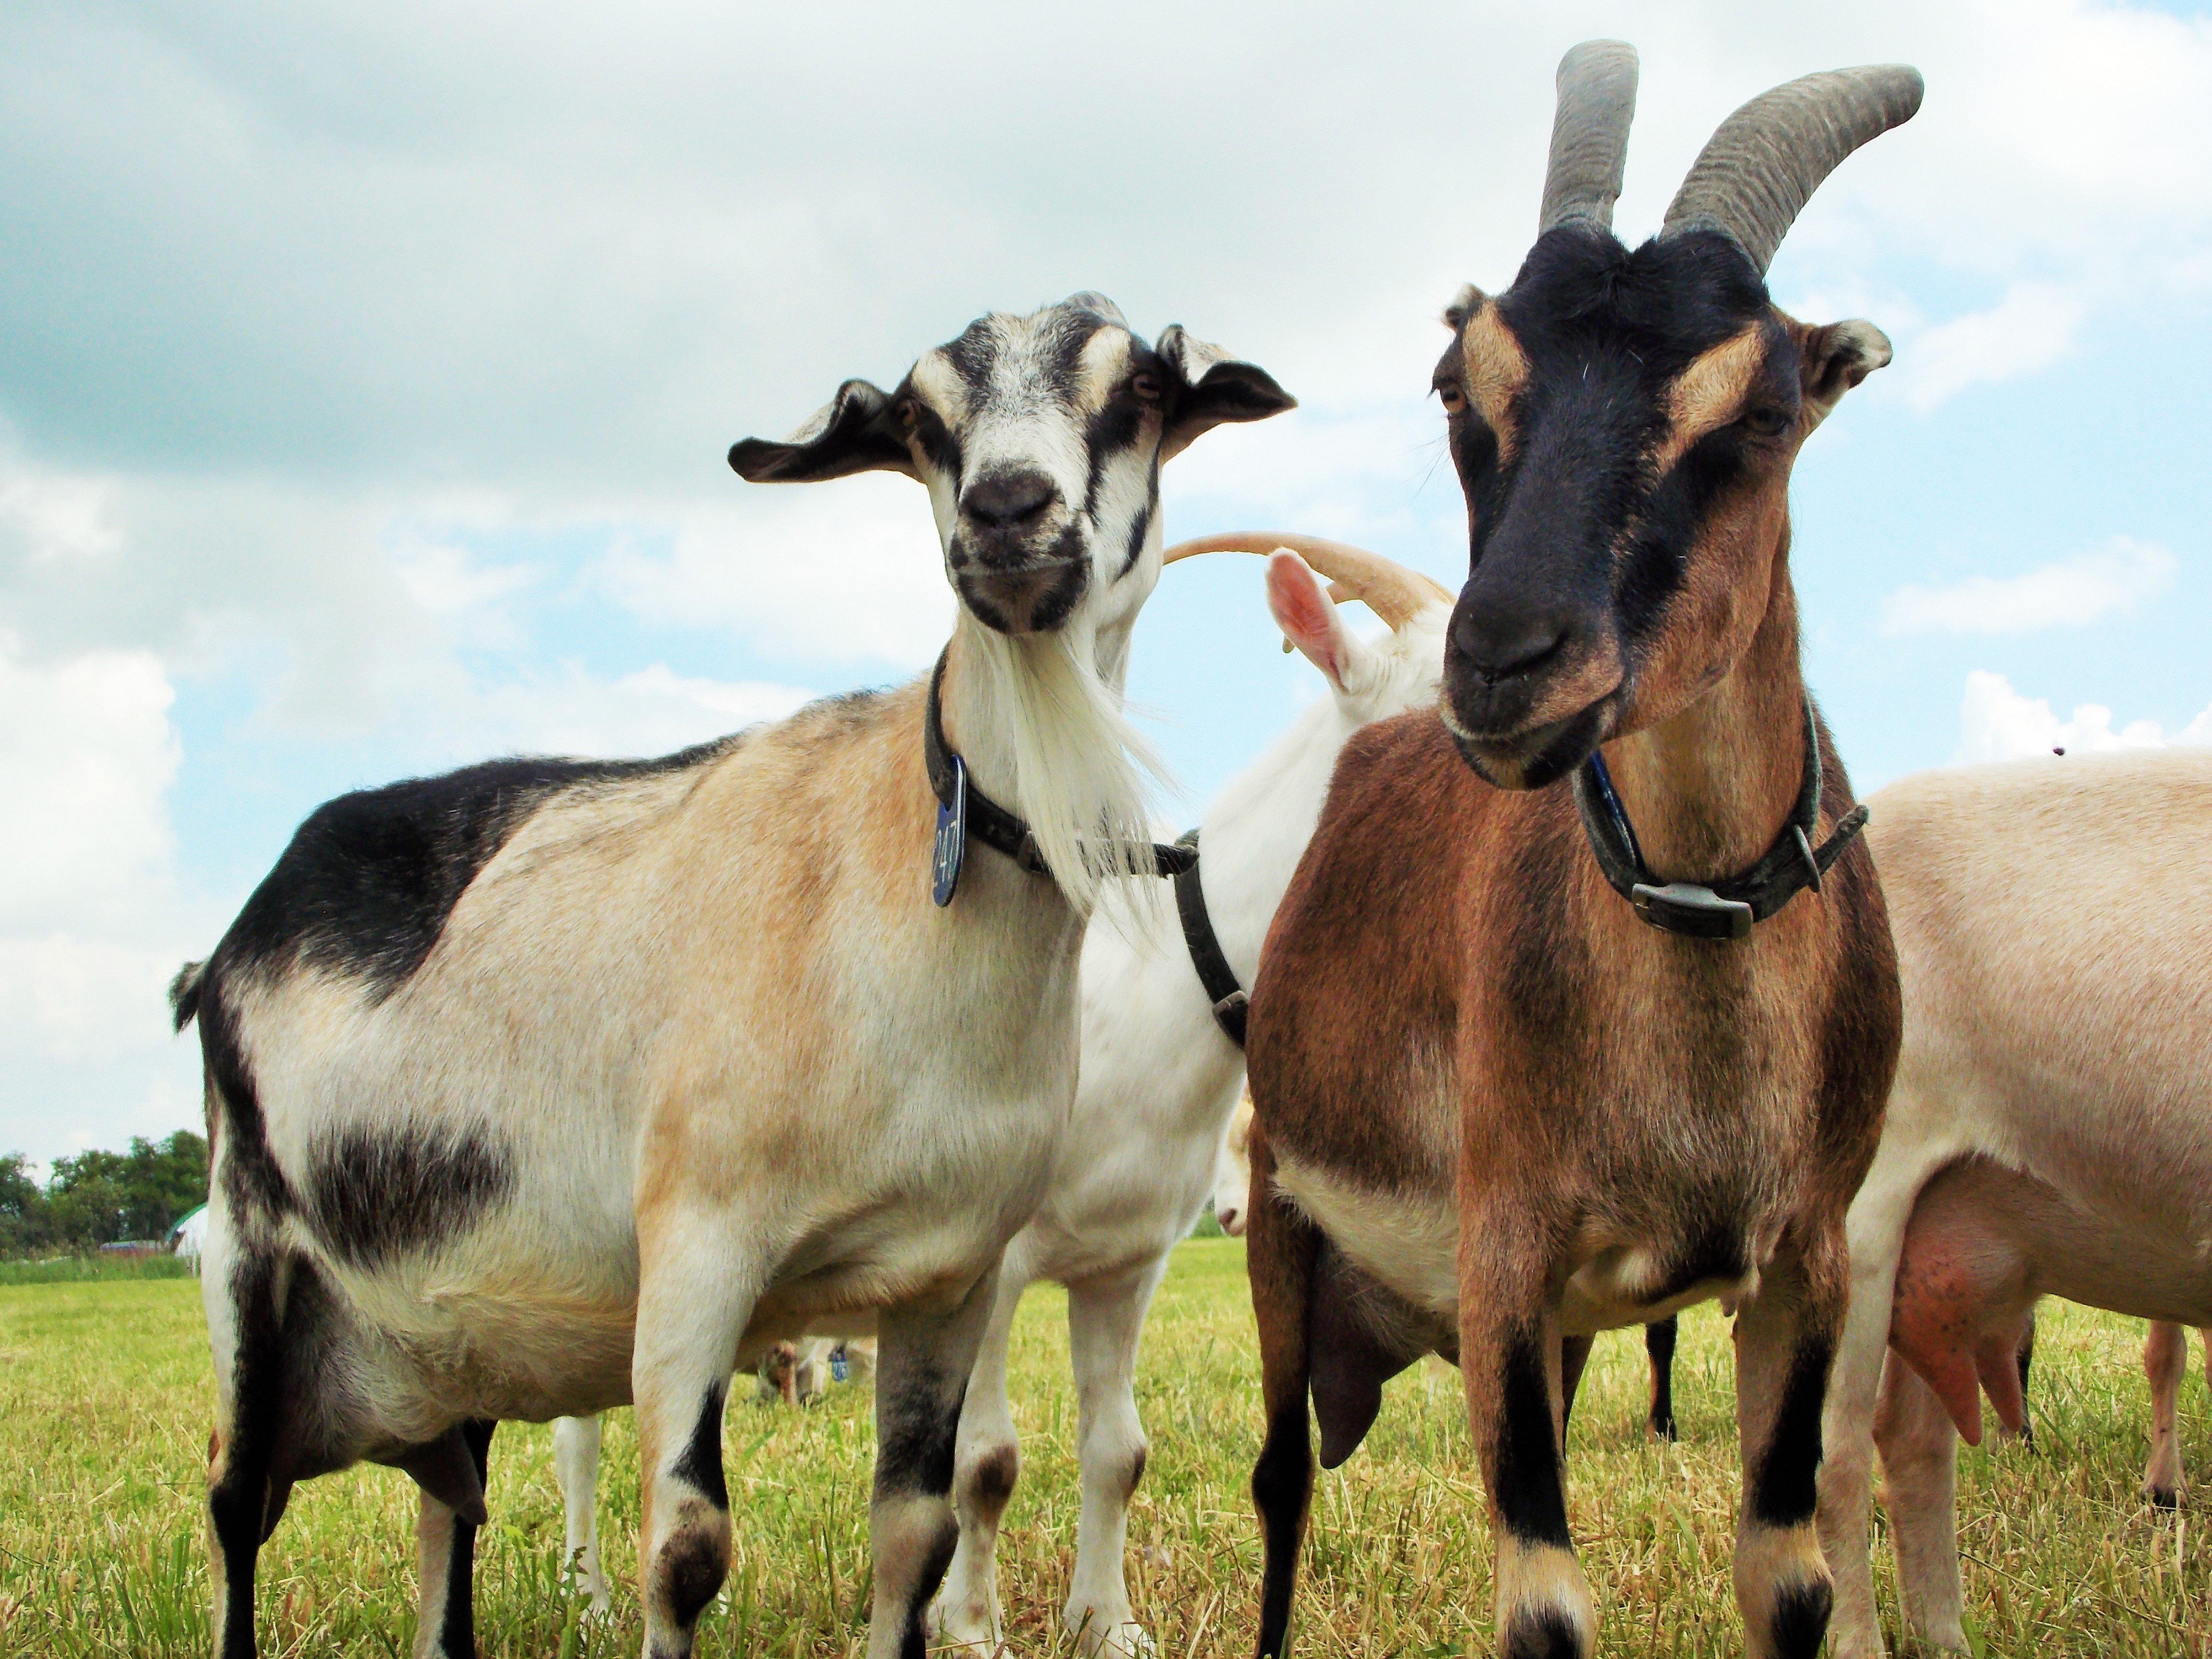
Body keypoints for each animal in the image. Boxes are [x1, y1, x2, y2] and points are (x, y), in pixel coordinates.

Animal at [169, 291, 1291, 1659]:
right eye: (923, 421)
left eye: (1137, 391)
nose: (1008, 510)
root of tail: (237, 937)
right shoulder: (697, 1248)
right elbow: (689, 1547)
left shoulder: (947, 1276)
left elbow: (914, 1536)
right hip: (252, 1260)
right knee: (236, 1497)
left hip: (455, 1326)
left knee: (449, 1501)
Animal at [1240, 43, 1916, 1659]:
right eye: (1460, 381)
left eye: (1765, 410)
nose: (1502, 661)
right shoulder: (1504, 1250)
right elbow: (1544, 1605)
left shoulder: (1806, 1259)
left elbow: (1791, 1575)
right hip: (1282, 1213)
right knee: (1281, 1483)